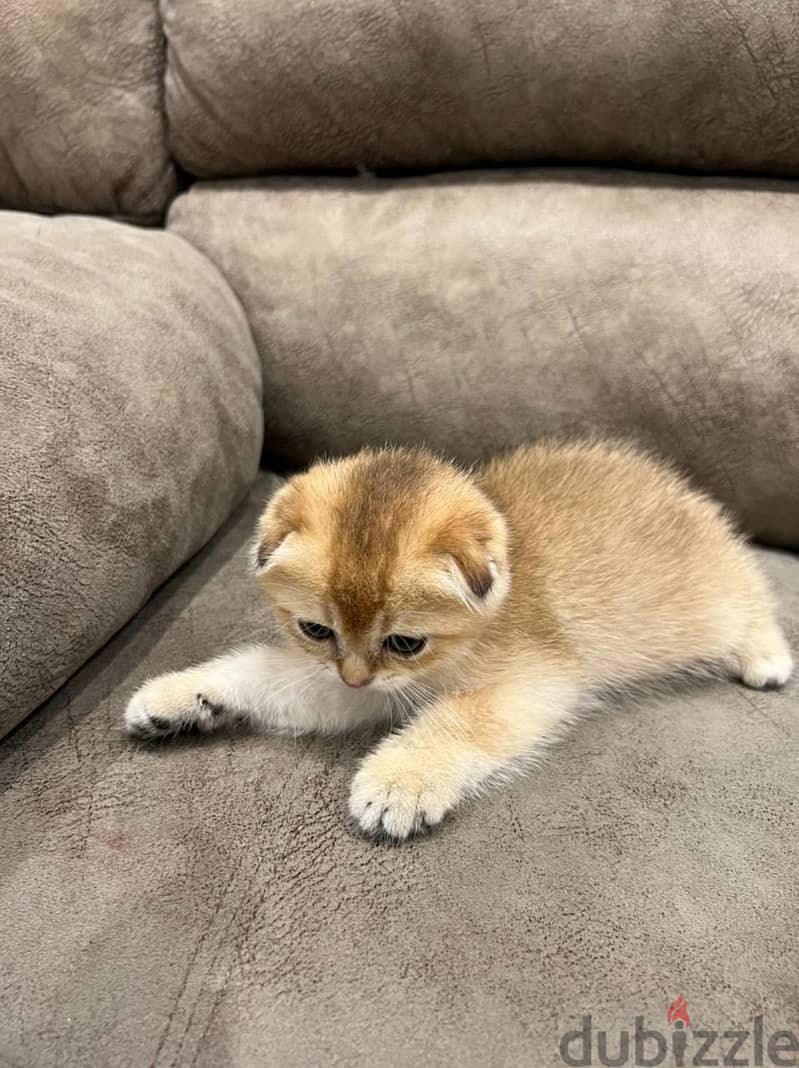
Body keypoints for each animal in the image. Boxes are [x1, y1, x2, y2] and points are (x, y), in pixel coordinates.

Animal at [124, 437, 794, 837]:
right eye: (316, 630)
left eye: (406, 642)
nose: (356, 674)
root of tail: (677, 490)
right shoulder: (356, 687)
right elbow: (266, 675)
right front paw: (183, 698)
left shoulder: (537, 679)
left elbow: (460, 720)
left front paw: (399, 781)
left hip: (706, 600)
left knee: (750, 588)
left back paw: (766, 655)